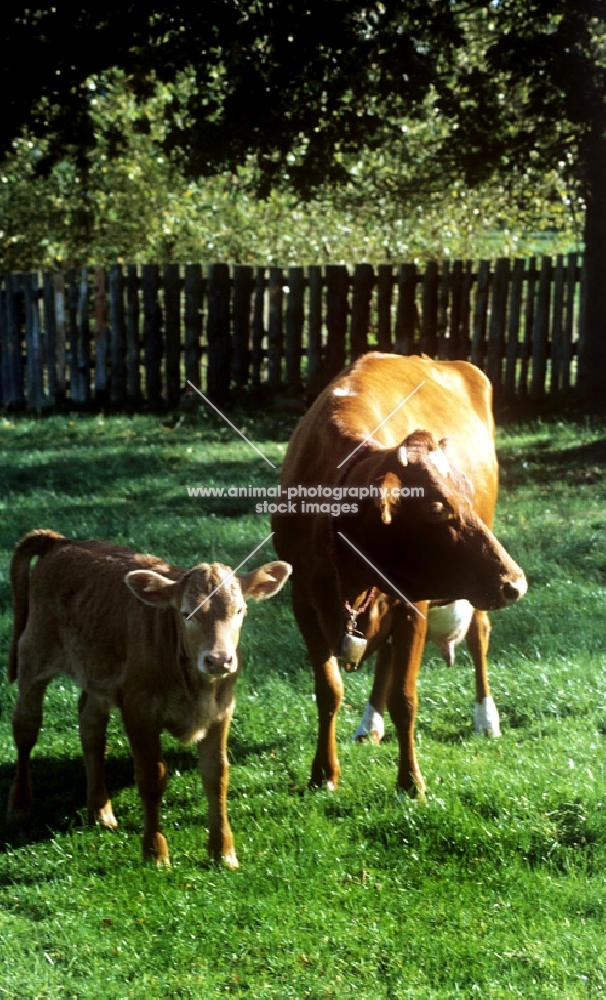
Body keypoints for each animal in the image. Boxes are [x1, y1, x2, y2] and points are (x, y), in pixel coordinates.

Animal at [7, 532, 292, 868]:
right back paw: (19, 805)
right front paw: (155, 853)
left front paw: (223, 852)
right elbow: (152, 777)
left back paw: (100, 809)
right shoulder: (139, 710)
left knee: (91, 728)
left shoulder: (221, 711)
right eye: (186, 613)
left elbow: (217, 775)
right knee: (26, 728)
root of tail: (62, 542)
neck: (194, 686)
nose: (219, 660)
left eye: (239, 611)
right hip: (33, 654)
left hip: (96, 672)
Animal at [274, 352, 528, 796]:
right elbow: (329, 690)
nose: (516, 584)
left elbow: (405, 698)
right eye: (436, 508)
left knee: (478, 634)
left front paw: (411, 783)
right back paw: (369, 723)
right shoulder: (303, 599)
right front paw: (324, 773)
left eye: (467, 495)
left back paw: (485, 717)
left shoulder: (414, 602)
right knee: (387, 658)